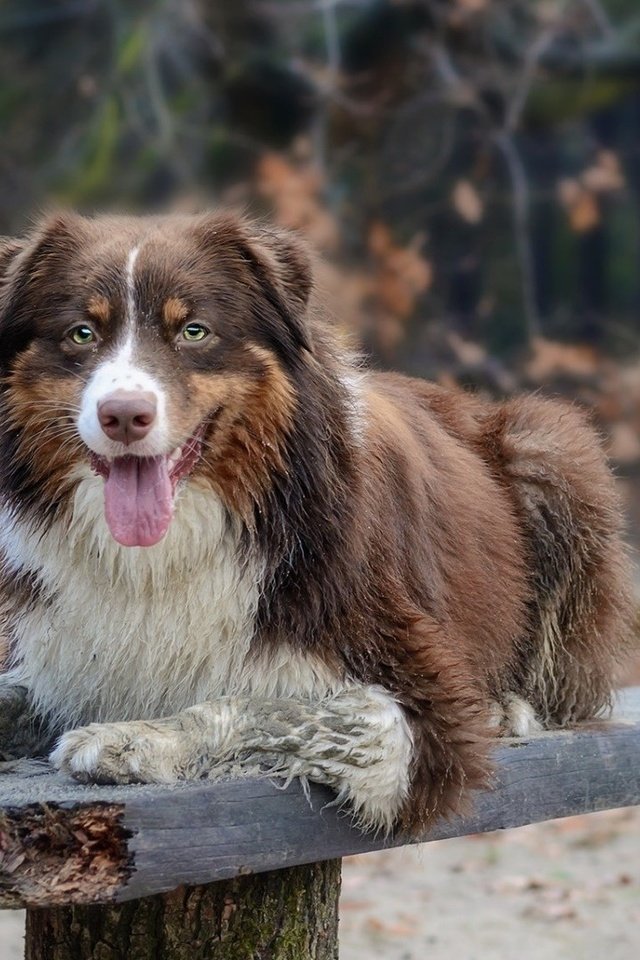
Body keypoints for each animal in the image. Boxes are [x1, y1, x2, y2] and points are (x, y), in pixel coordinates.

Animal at [0, 212, 632, 832]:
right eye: (82, 333)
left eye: (194, 331)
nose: (124, 415)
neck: (163, 555)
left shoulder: (422, 713)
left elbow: (266, 705)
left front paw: (133, 737)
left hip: (551, 445)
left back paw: (507, 707)